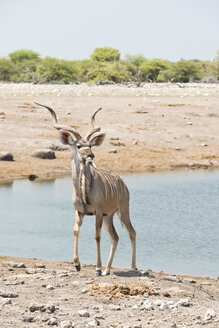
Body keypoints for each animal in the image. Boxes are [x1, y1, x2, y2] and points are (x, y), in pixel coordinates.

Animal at [35, 102, 136, 274]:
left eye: (89, 145)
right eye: (78, 145)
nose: (90, 155)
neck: (84, 191)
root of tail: (122, 183)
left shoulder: (98, 212)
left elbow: (97, 236)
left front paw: (97, 268)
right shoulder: (80, 211)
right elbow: (76, 230)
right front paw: (77, 264)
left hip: (122, 211)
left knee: (131, 232)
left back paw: (132, 267)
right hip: (109, 216)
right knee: (115, 237)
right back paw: (107, 270)